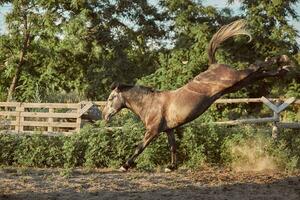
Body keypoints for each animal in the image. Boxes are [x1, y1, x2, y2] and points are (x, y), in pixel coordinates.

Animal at [102, 19, 292, 172]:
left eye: (111, 98)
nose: (104, 116)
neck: (150, 104)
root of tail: (213, 66)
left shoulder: (152, 131)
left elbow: (139, 147)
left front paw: (125, 165)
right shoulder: (169, 130)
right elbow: (173, 147)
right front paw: (171, 167)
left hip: (236, 78)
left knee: (257, 66)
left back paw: (282, 60)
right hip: (238, 83)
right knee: (259, 72)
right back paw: (283, 69)